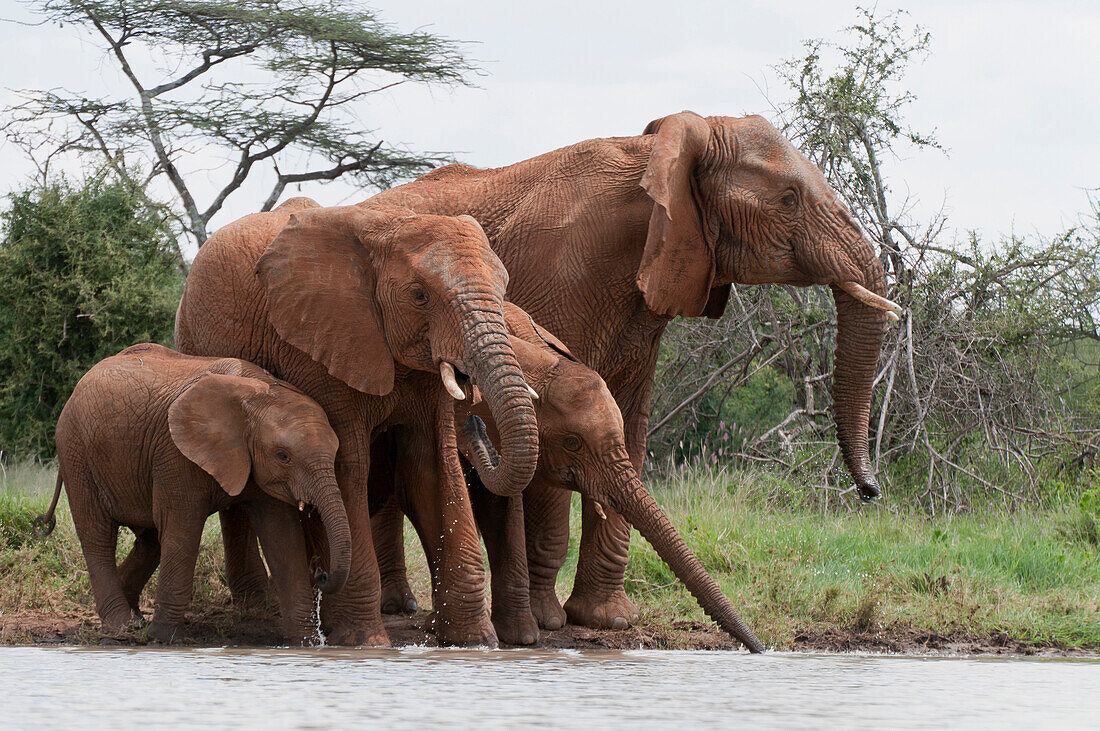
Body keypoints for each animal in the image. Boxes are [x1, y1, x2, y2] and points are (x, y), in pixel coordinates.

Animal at [40, 345, 349, 641]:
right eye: (283, 456)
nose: (321, 573)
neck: (259, 392)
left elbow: (281, 535)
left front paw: (305, 643)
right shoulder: (175, 453)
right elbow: (182, 526)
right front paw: (166, 638)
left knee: (150, 539)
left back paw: (134, 618)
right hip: (76, 452)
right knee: (99, 536)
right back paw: (121, 625)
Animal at [173, 197, 539, 646]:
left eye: (504, 291)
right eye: (419, 296)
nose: (475, 424)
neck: (387, 227)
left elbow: (433, 467)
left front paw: (475, 642)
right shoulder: (321, 345)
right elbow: (349, 467)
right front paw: (364, 641)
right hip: (194, 341)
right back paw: (267, 605)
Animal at [369, 111, 902, 628]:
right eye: (789, 200)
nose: (870, 491)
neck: (658, 157)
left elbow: (629, 425)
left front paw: (609, 620)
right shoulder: (559, 279)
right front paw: (549, 623)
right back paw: (397, 608)